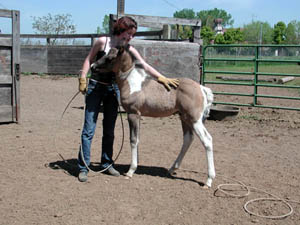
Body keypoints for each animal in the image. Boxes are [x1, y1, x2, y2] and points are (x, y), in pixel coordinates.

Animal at [91, 46, 216, 188]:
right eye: (104, 53)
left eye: (110, 58)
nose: (92, 66)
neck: (132, 83)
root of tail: (201, 88)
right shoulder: (138, 116)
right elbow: (137, 139)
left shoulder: (133, 114)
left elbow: (133, 140)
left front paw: (131, 171)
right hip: (184, 118)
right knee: (188, 139)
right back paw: (172, 169)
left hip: (194, 120)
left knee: (207, 140)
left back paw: (208, 180)